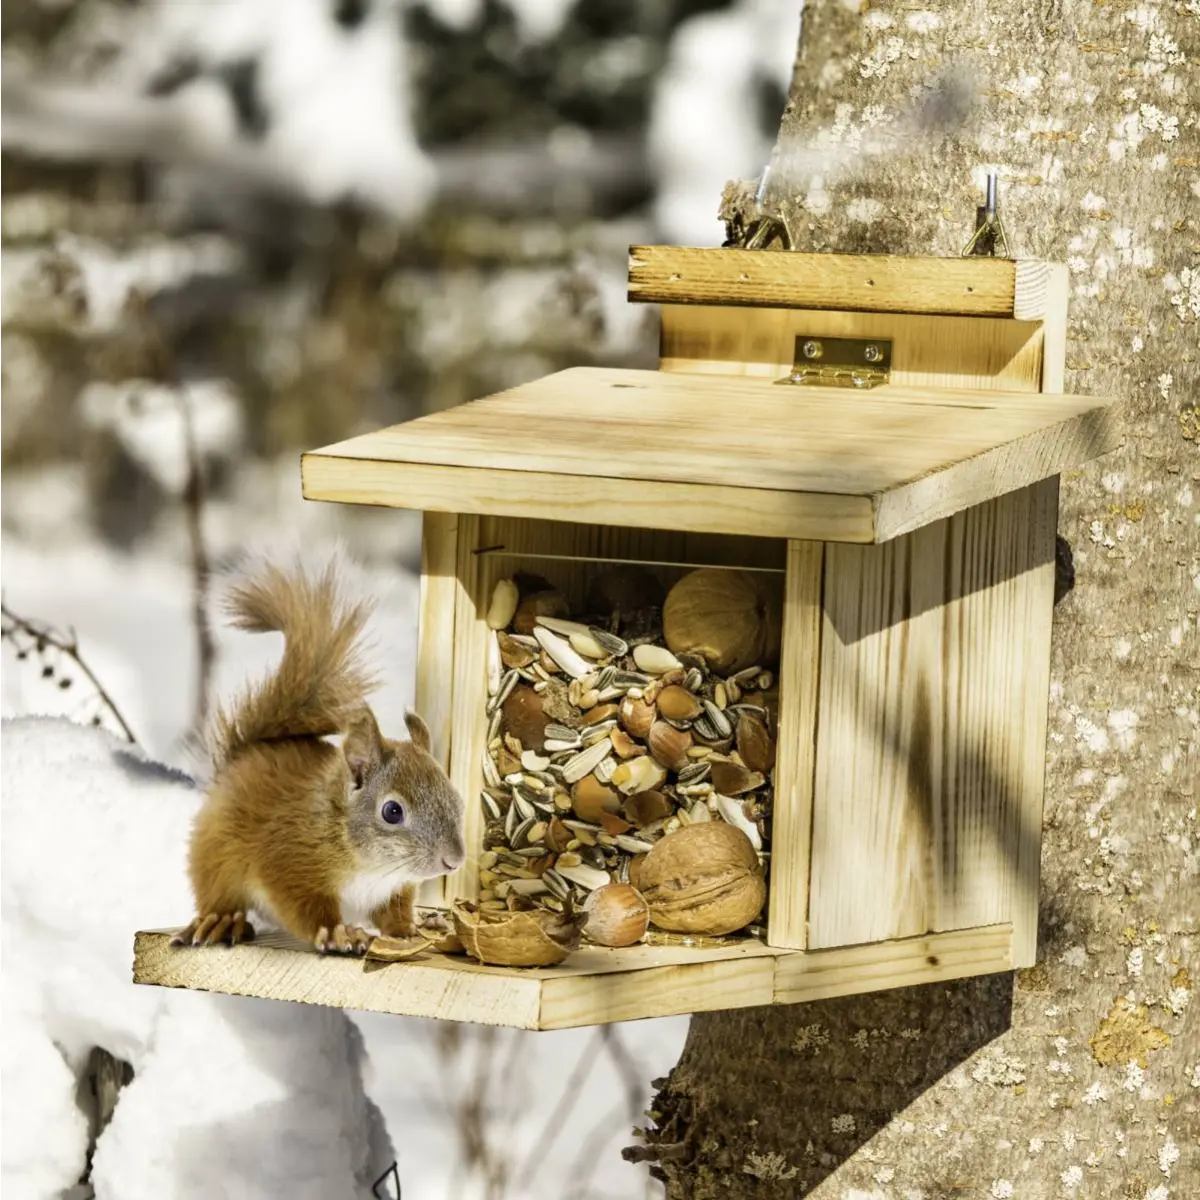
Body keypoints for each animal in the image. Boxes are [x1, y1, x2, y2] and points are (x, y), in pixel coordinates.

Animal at [173, 551, 466, 956]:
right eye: (392, 812)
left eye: (458, 799)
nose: (454, 861)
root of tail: (239, 760)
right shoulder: (288, 862)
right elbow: (307, 909)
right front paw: (340, 933)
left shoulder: (393, 888)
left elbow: (394, 912)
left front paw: (408, 930)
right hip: (216, 854)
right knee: (217, 892)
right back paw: (221, 920)